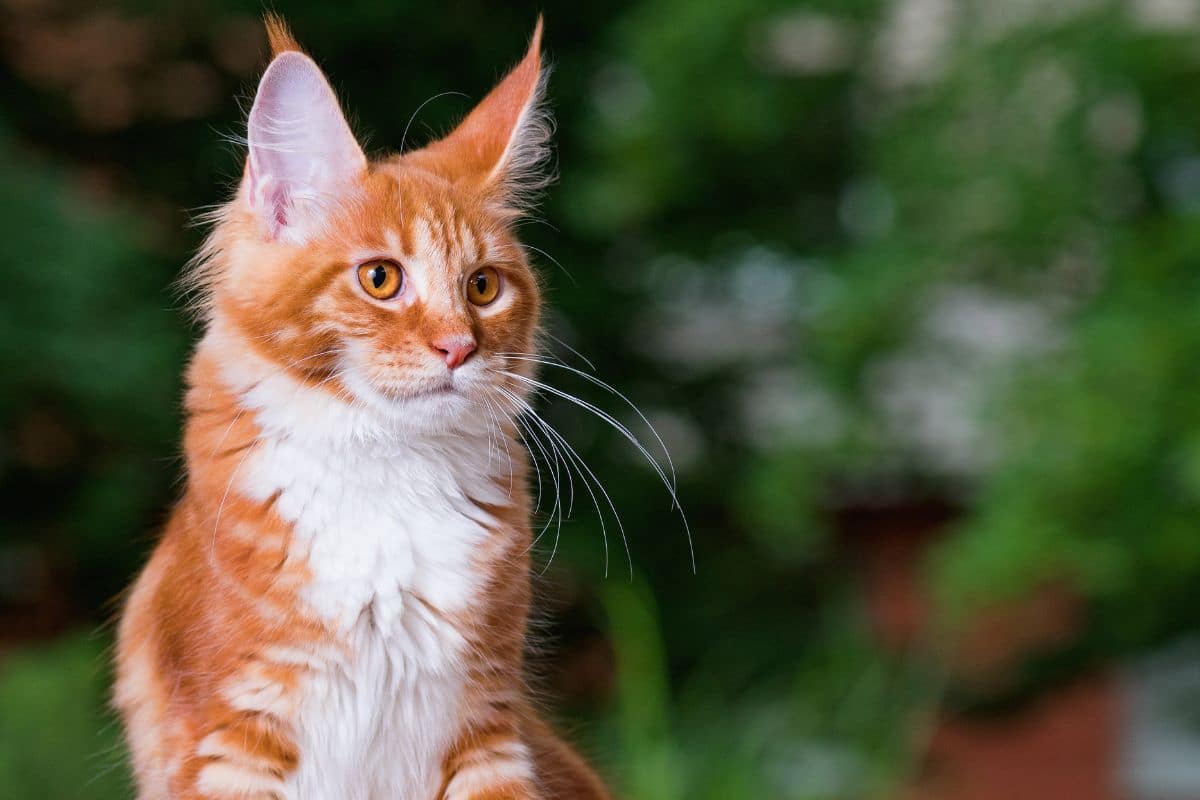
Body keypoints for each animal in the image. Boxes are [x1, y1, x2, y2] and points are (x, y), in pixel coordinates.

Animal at [112, 18, 609, 800]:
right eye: (381, 278)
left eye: (483, 286)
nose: (459, 346)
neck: (387, 472)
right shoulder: (229, 737)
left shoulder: (487, 730)